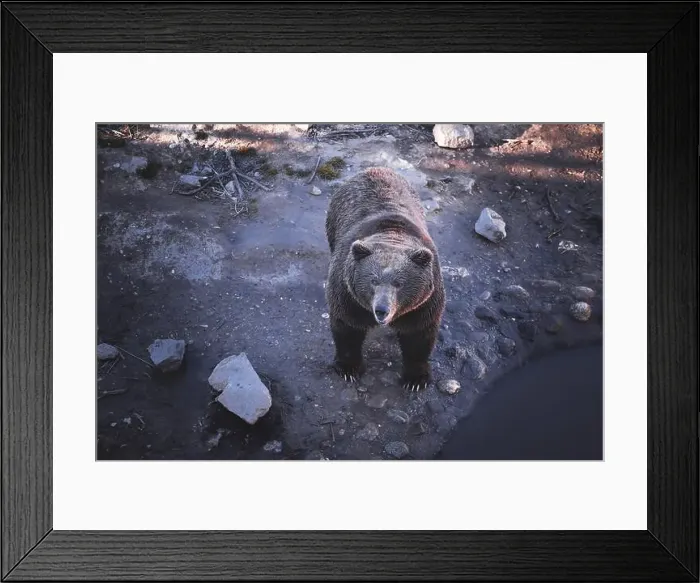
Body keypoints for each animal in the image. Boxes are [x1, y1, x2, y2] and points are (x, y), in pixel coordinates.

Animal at [324, 166, 445, 391]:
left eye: (399, 283)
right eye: (373, 280)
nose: (381, 310)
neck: (392, 235)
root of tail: (375, 168)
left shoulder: (423, 303)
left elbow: (418, 335)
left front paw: (416, 379)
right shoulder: (348, 295)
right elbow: (347, 327)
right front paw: (348, 368)